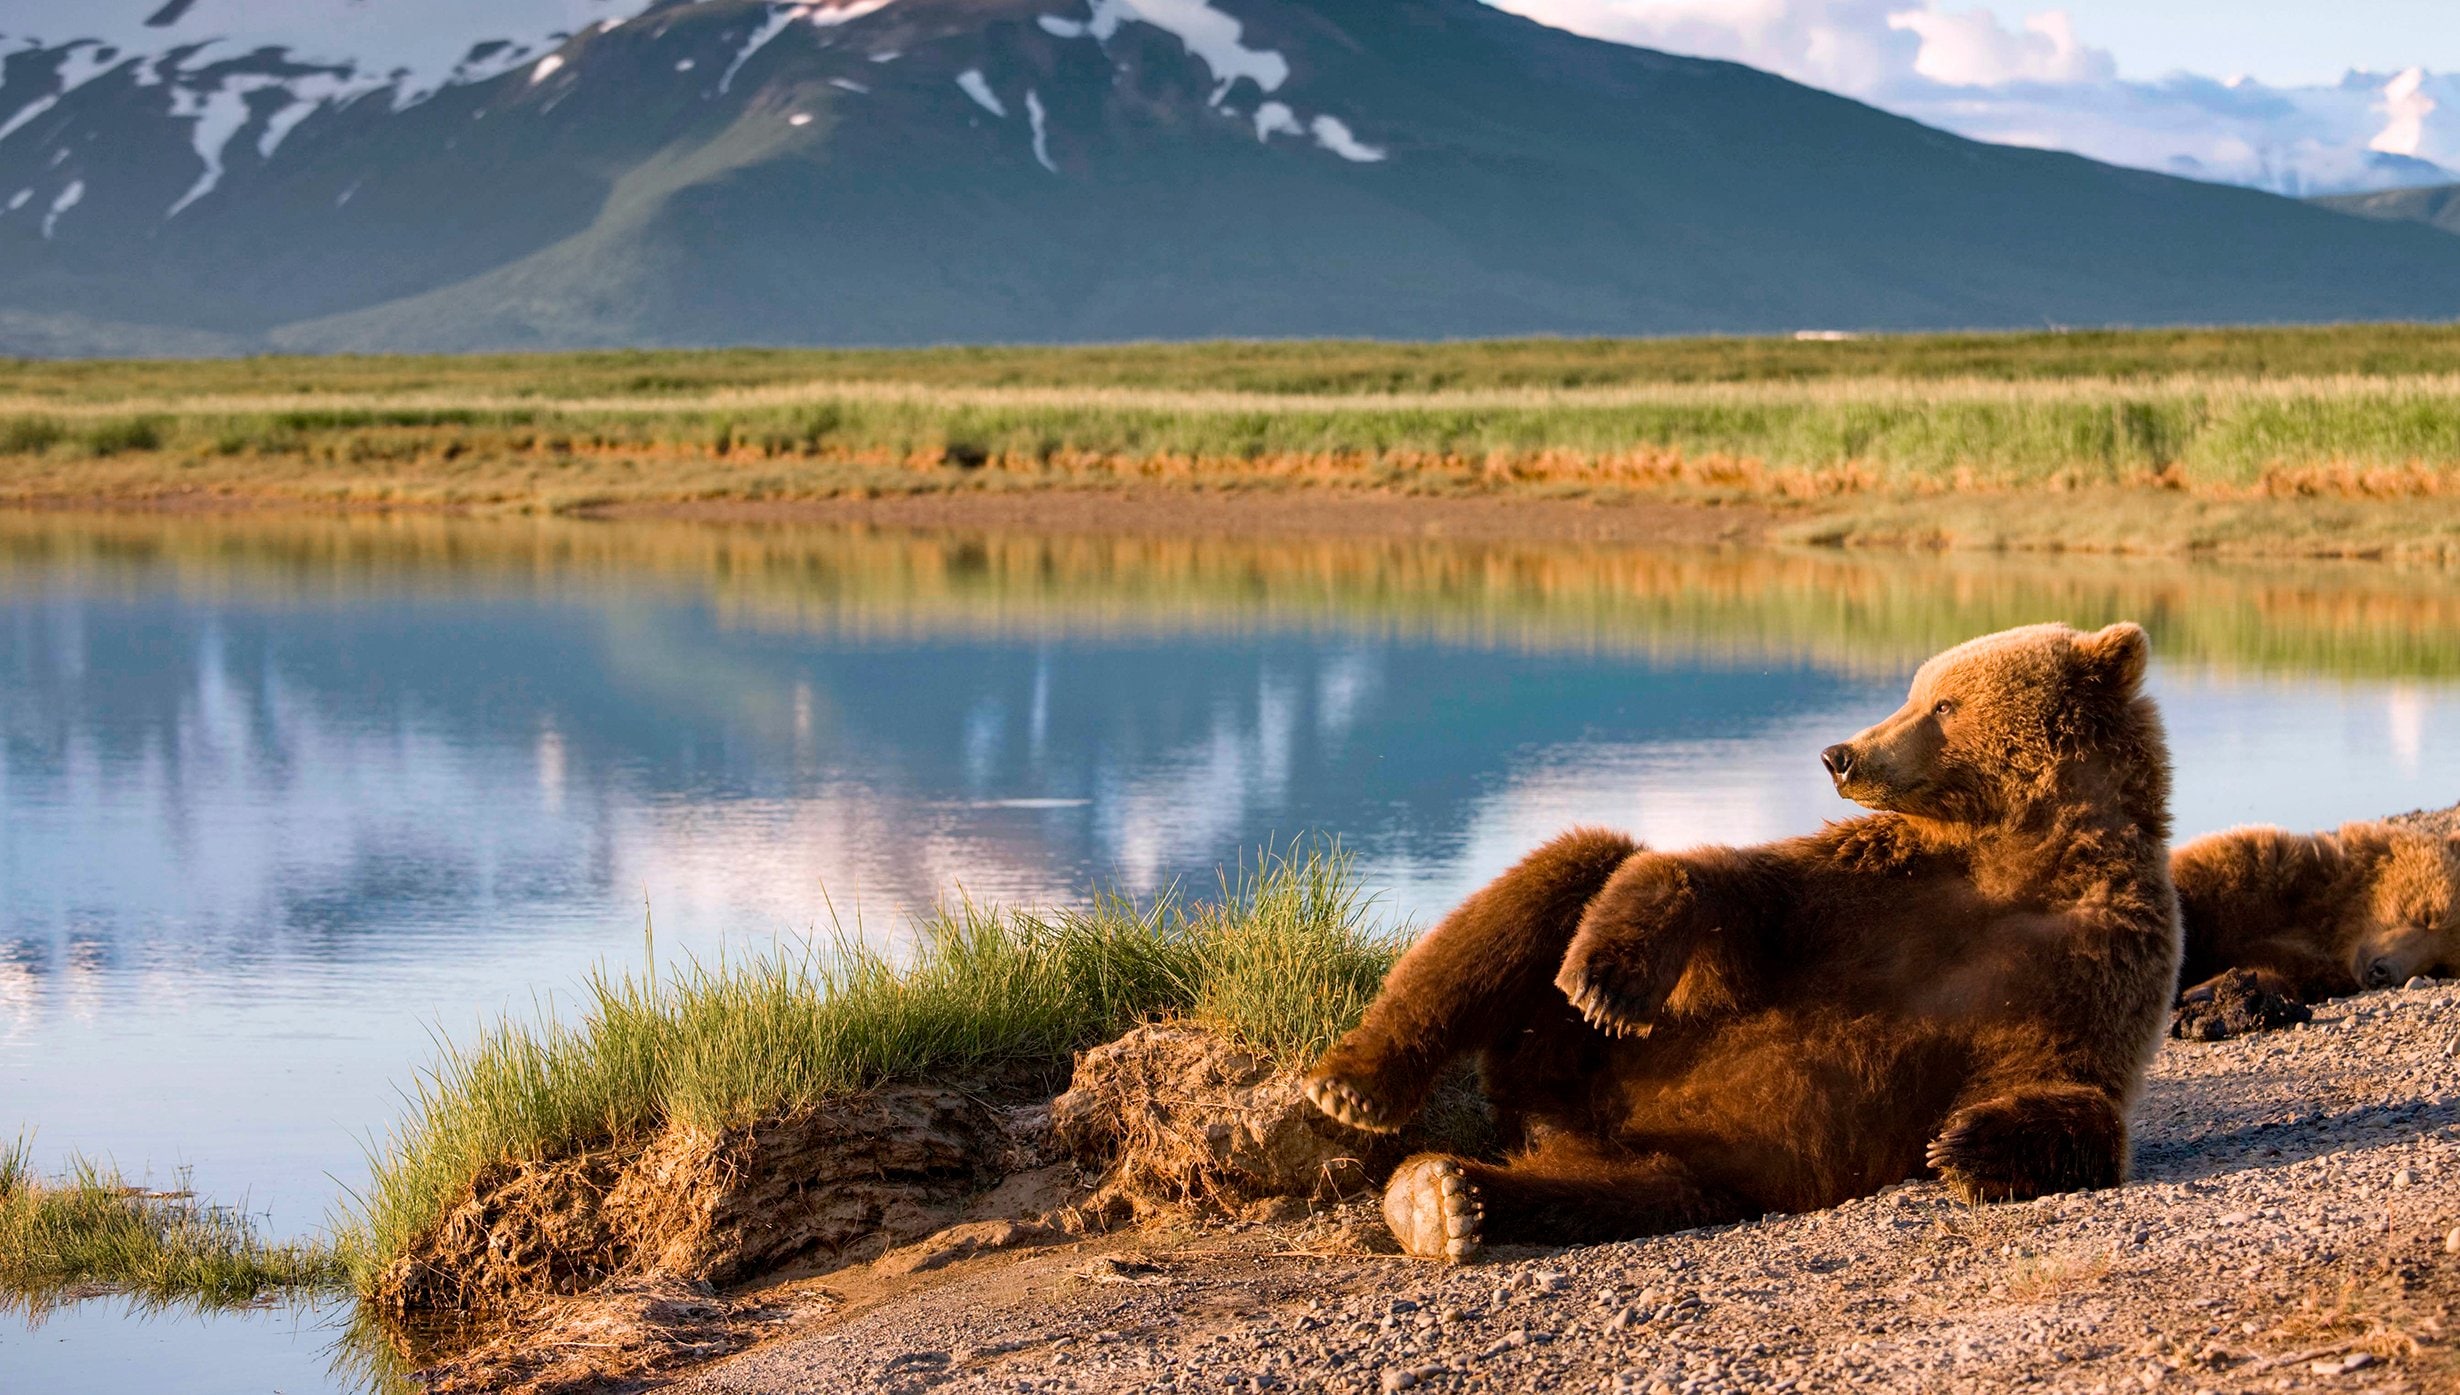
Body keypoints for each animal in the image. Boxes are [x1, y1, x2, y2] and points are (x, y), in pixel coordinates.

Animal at [1303, 622, 2180, 1263]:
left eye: (1943, 704)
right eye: (1917, 690)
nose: (1841, 754)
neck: (2015, 856)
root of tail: (1553, 1118)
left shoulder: (2090, 956)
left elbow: (2068, 1081)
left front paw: (1969, 1143)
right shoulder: (1880, 889)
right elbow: (1739, 892)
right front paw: (1609, 979)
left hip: (1685, 1160)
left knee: (1608, 1192)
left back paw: (1446, 1199)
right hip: (1568, 1046)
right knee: (1566, 870)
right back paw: (1357, 1087)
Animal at [2168, 821, 2460, 1040]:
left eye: (2439, 967)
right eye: (2426, 914)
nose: (2382, 972)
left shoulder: (2314, 968)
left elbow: (2278, 977)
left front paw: (2211, 994)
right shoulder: (2248, 878)